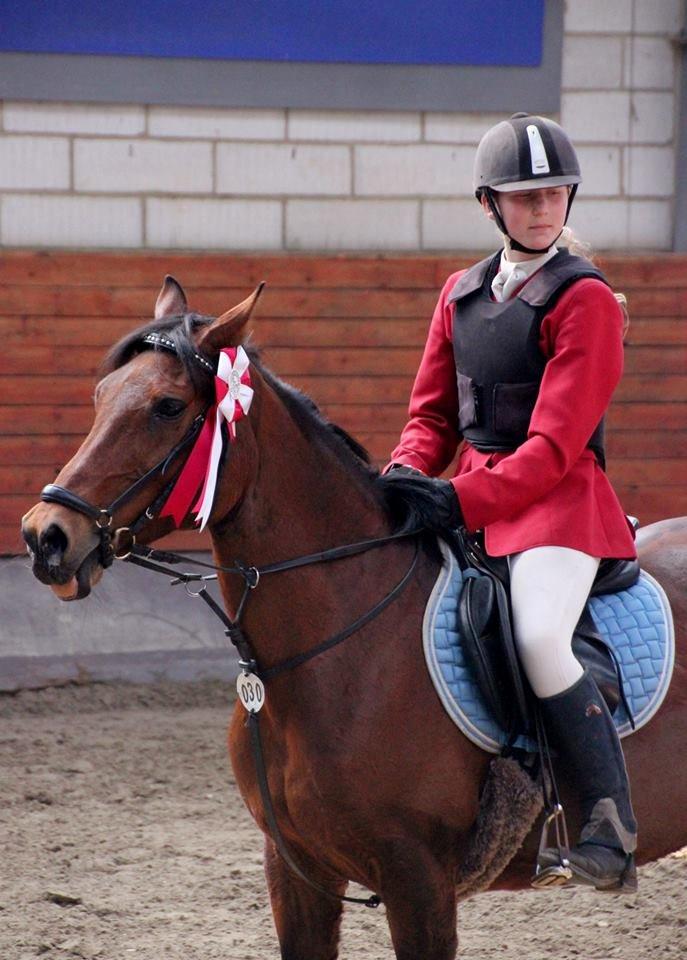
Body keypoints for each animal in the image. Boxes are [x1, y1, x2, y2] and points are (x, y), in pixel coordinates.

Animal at [21, 277, 687, 960]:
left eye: (167, 407)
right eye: (101, 396)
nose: (46, 537)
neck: (326, 653)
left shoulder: (418, 881)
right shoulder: (295, 868)